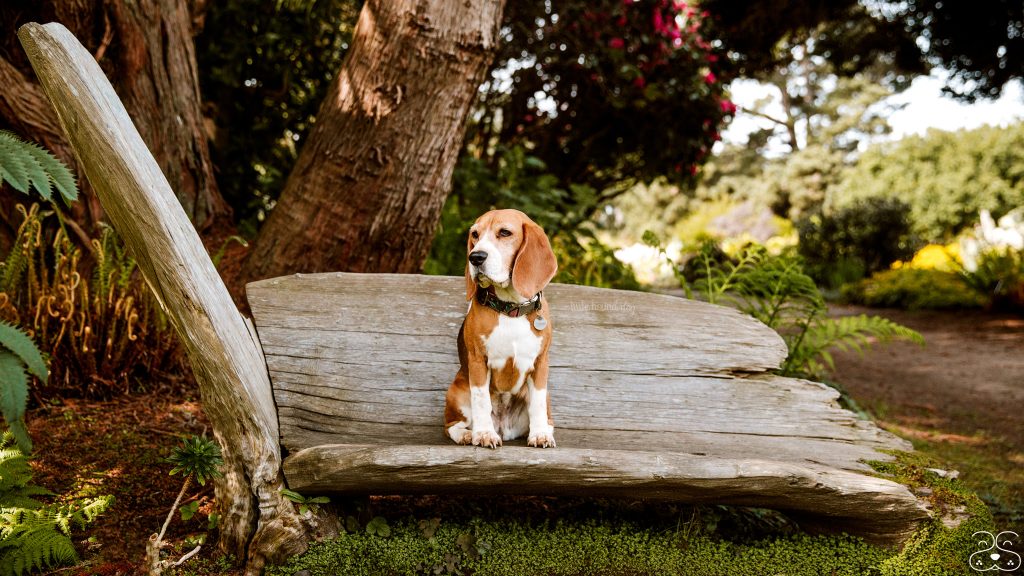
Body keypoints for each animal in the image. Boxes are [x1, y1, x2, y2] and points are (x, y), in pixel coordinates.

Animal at [442, 208, 557, 446]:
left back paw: (545, 430)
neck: (511, 309)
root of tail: (504, 428)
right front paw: (484, 434)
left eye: (505, 232)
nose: (475, 257)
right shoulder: (478, 361)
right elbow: (481, 400)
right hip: (457, 390)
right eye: (475, 235)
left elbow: (538, 404)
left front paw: (540, 433)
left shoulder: (541, 363)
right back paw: (468, 434)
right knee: (451, 426)